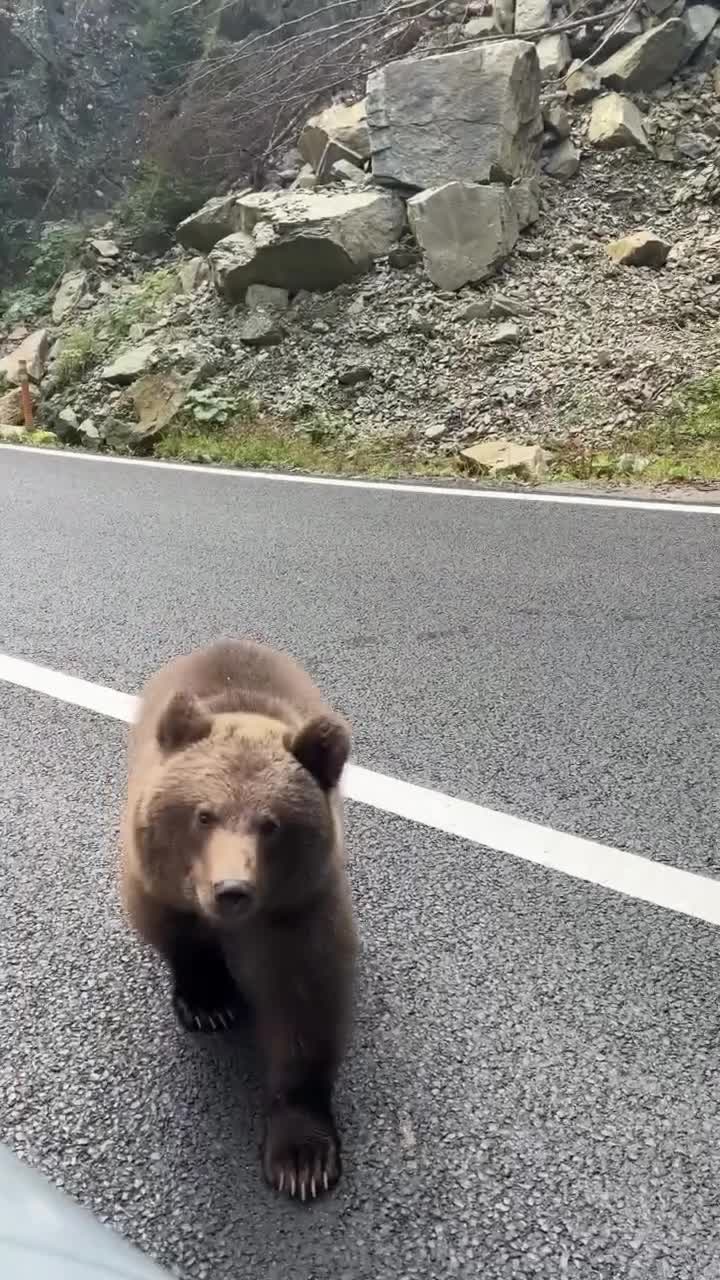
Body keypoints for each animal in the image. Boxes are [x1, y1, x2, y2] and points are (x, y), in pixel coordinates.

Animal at [119, 640, 356, 1198]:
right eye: (203, 815)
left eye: (271, 825)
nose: (231, 889)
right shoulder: (158, 881)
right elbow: (178, 936)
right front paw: (209, 1004)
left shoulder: (301, 906)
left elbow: (306, 1004)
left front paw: (303, 1159)